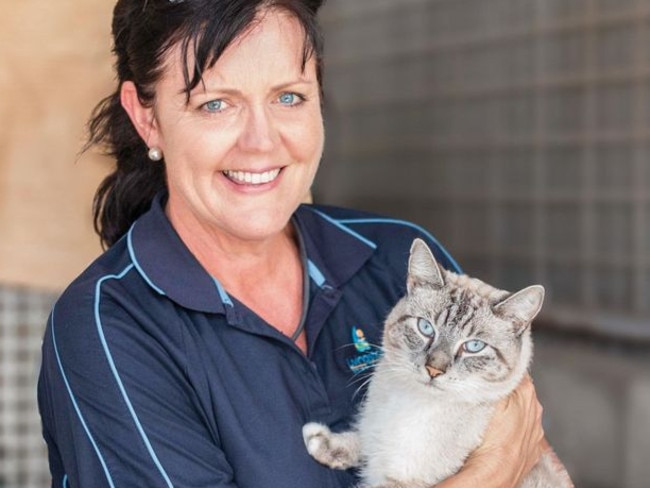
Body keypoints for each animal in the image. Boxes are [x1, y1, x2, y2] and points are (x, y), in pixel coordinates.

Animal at [302, 238, 568, 488]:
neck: (411, 403)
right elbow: (362, 439)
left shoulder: (407, 481)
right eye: (426, 328)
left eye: (474, 346)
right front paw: (321, 442)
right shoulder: (375, 439)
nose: (434, 370)